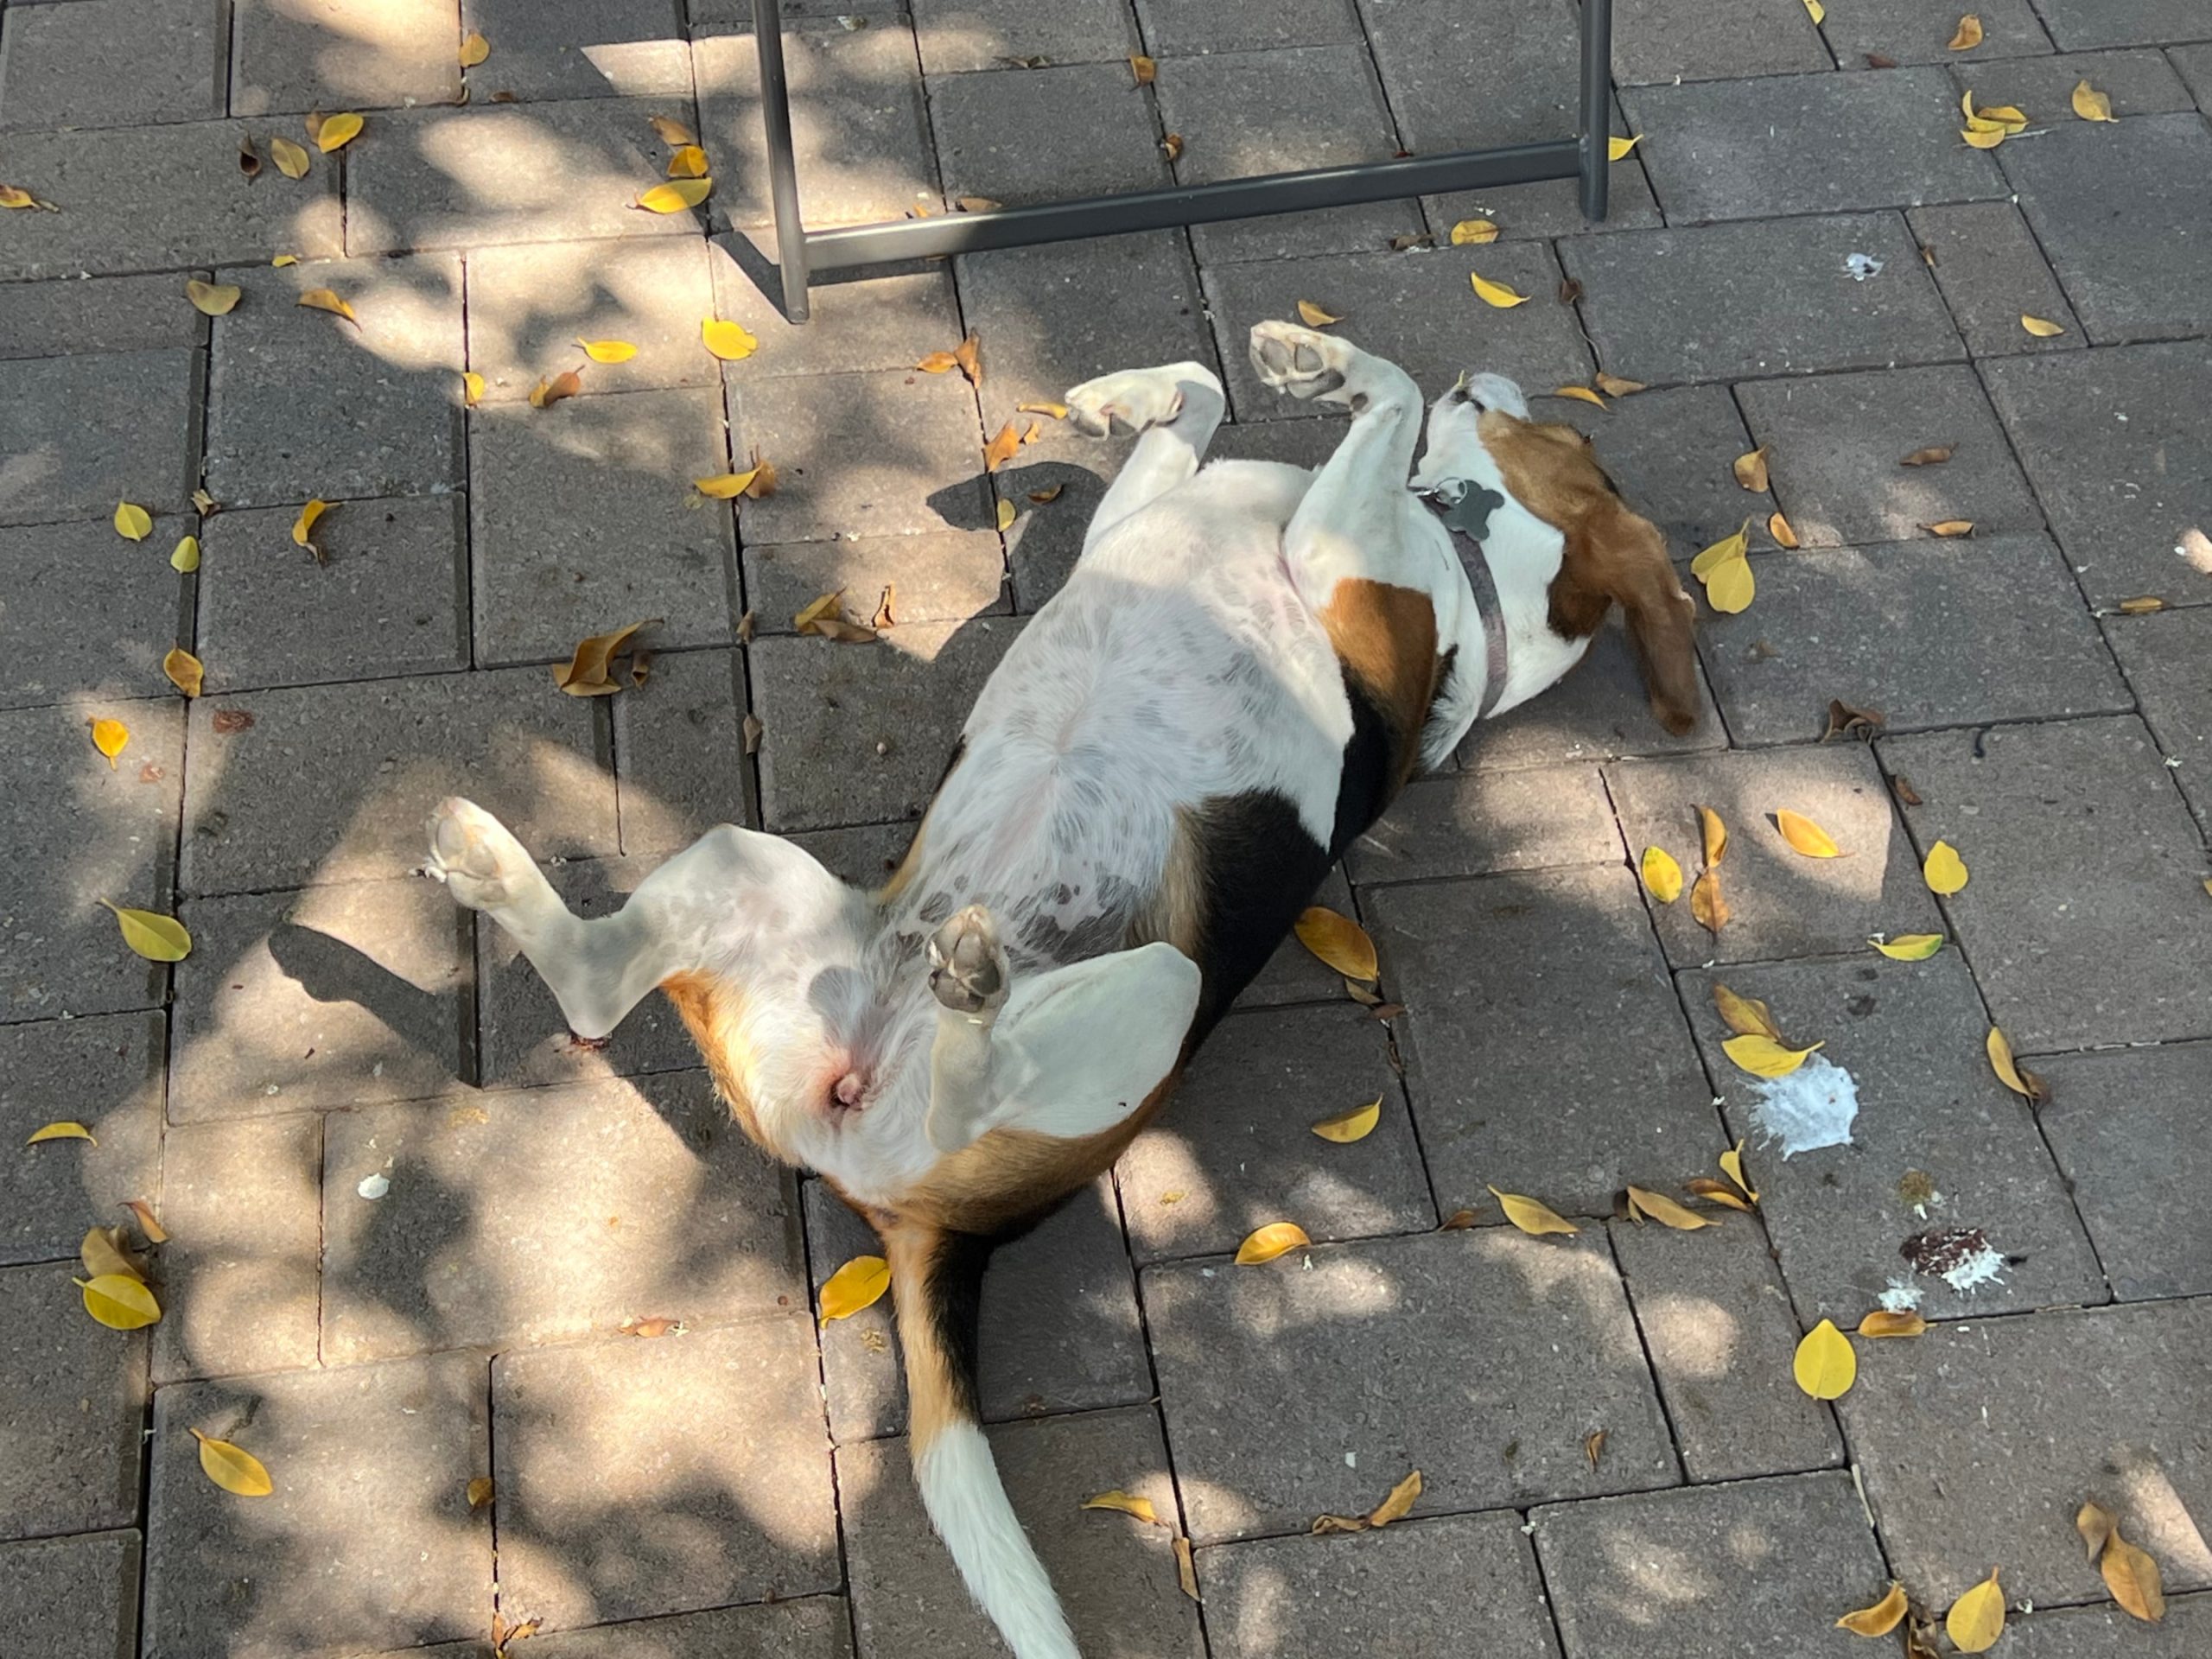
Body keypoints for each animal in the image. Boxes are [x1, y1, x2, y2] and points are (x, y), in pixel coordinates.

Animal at [422, 325, 1681, 1659]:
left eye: (1575, 440)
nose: (1493, 379)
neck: (1458, 571)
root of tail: (915, 1208)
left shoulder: (1333, 558)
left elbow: (1376, 389)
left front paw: (1315, 358)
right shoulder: (1154, 520)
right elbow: (1201, 397)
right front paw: (1121, 400)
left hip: (1161, 991)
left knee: (966, 1065)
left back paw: (972, 998)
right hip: (742, 866)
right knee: (595, 988)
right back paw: (489, 863)